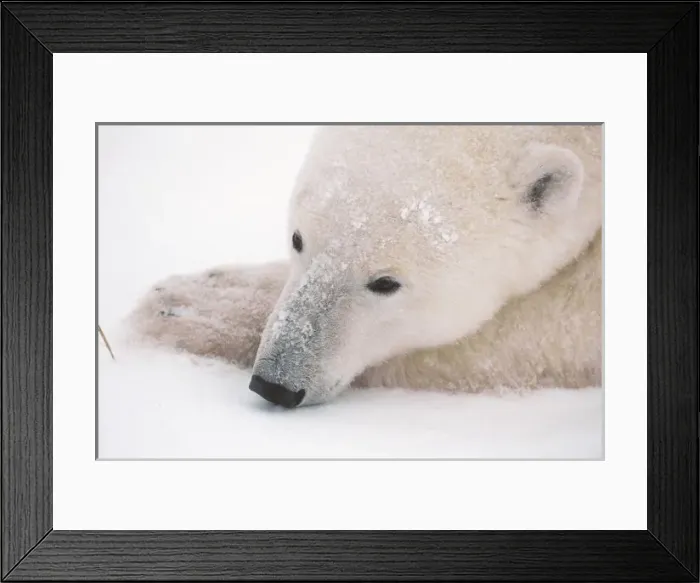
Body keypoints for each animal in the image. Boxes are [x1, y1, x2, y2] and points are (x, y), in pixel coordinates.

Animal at [128, 125, 602, 408]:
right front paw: (189, 296)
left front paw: (191, 306)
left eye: (385, 283)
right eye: (298, 238)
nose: (275, 385)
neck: (584, 137)